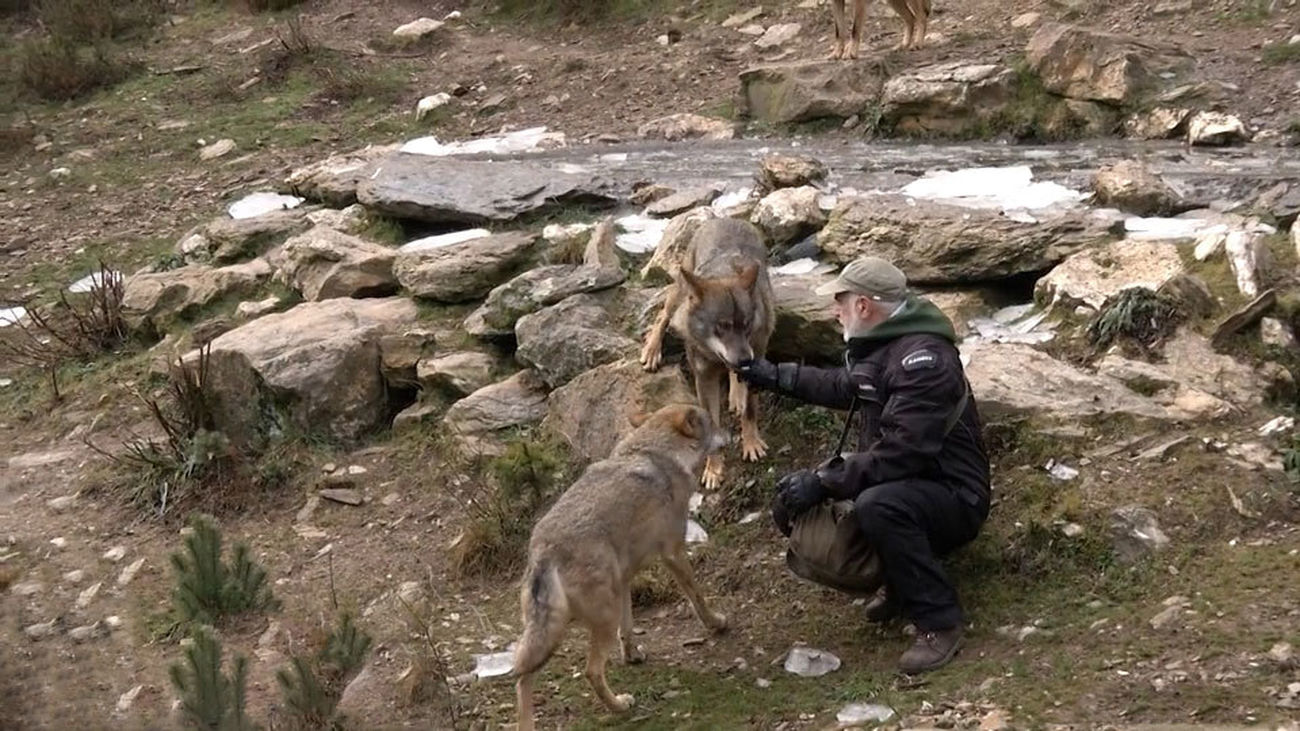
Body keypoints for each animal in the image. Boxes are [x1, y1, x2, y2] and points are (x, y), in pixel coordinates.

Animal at [511, 403, 730, 731]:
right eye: (713, 423)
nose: (730, 434)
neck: (656, 452)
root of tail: (544, 551)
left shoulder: (625, 580)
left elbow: (628, 629)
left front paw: (632, 656)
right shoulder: (674, 553)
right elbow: (698, 597)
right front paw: (716, 623)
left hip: (552, 631)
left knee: (523, 678)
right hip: (598, 620)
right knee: (591, 671)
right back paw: (620, 706)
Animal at [638, 217, 776, 490]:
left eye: (746, 324)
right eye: (722, 326)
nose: (745, 359)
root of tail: (723, 218)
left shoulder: (756, 360)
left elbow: (750, 408)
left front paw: (751, 444)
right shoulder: (704, 380)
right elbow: (711, 423)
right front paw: (713, 470)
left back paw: (735, 395)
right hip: (678, 295)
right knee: (661, 317)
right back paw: (651, 351)